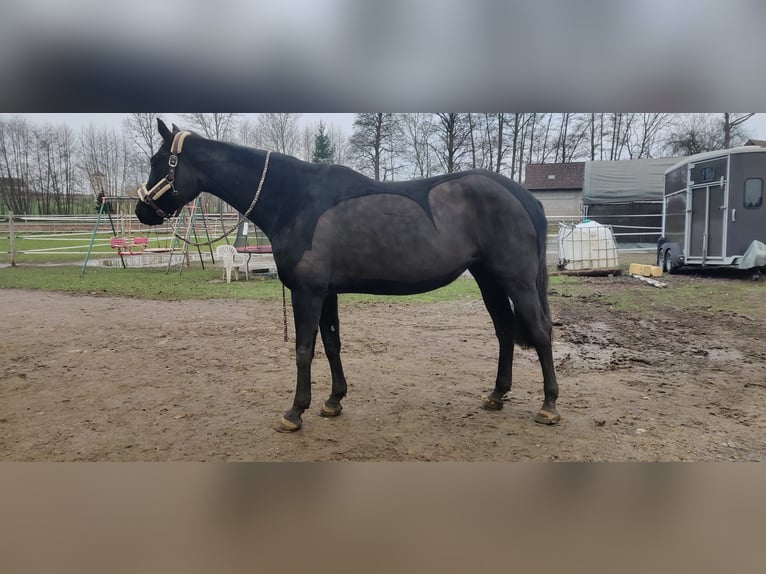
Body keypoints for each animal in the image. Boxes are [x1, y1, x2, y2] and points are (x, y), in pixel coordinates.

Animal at [135, 119, 560, 432]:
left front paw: (294, 413)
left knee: (540, 331)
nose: (141, 211)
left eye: (159, 161)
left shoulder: (307, 292)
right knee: (504, 330)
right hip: (489, 280)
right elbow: (332, 343)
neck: (294, 199)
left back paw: (549, 405)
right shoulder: (327, 292)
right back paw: (497, 395)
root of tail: (524, 198)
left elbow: (304, 349)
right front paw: (333, 401)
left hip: (517, 281)